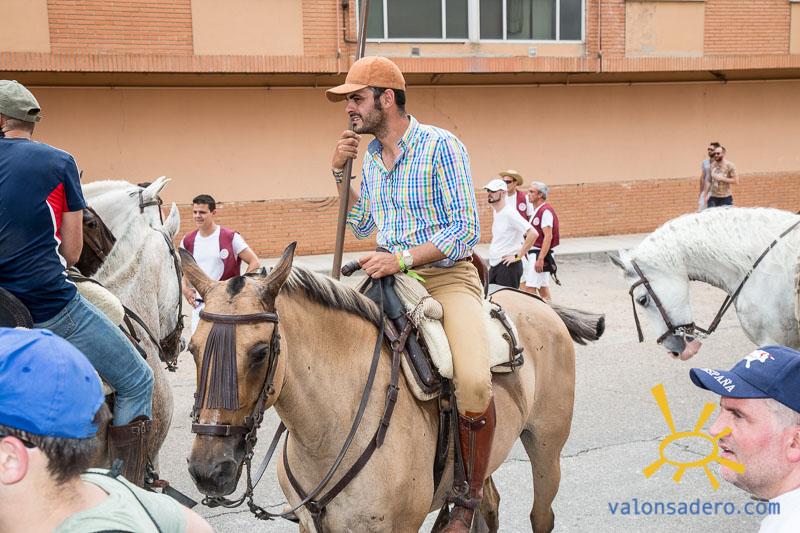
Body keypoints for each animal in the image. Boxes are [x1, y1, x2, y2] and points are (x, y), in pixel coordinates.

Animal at [182, 243, 604, 532]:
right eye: (193, 349)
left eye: (259, 352)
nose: (208, 469)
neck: (332, 429)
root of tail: (537, 304)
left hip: (547, 450)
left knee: (540, 513)